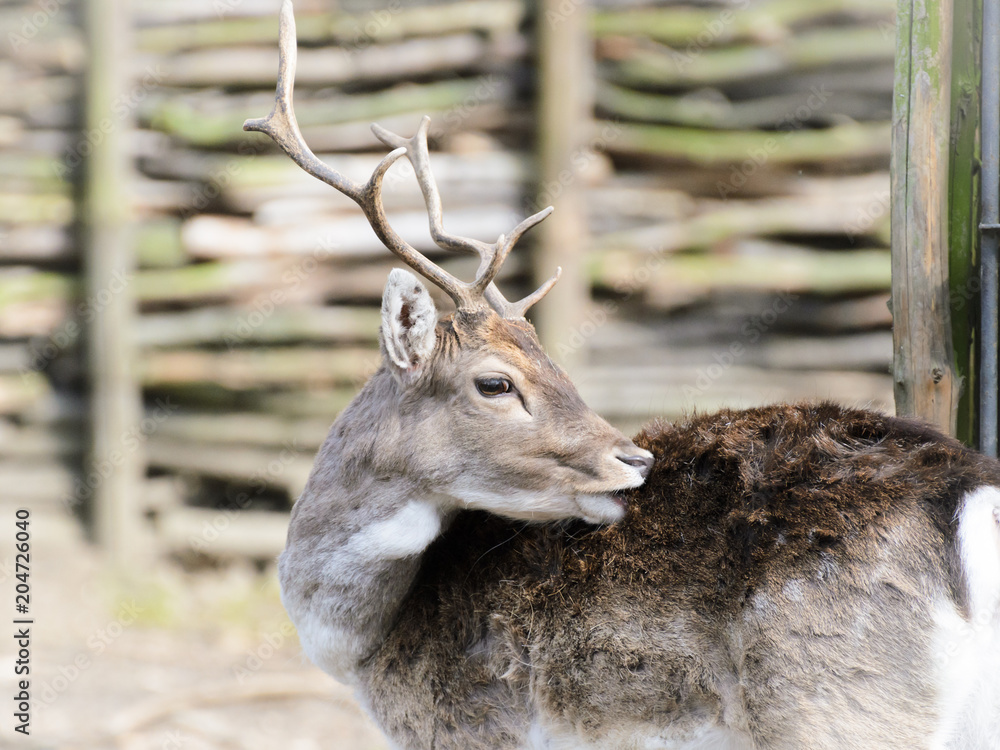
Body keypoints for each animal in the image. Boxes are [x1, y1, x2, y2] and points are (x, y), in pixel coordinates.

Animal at [246, 3, 1000, 748]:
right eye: (497, 382)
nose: (635, 459)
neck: (362, 651)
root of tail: (969, 494)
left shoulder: (473, 727)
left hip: (834, 704)